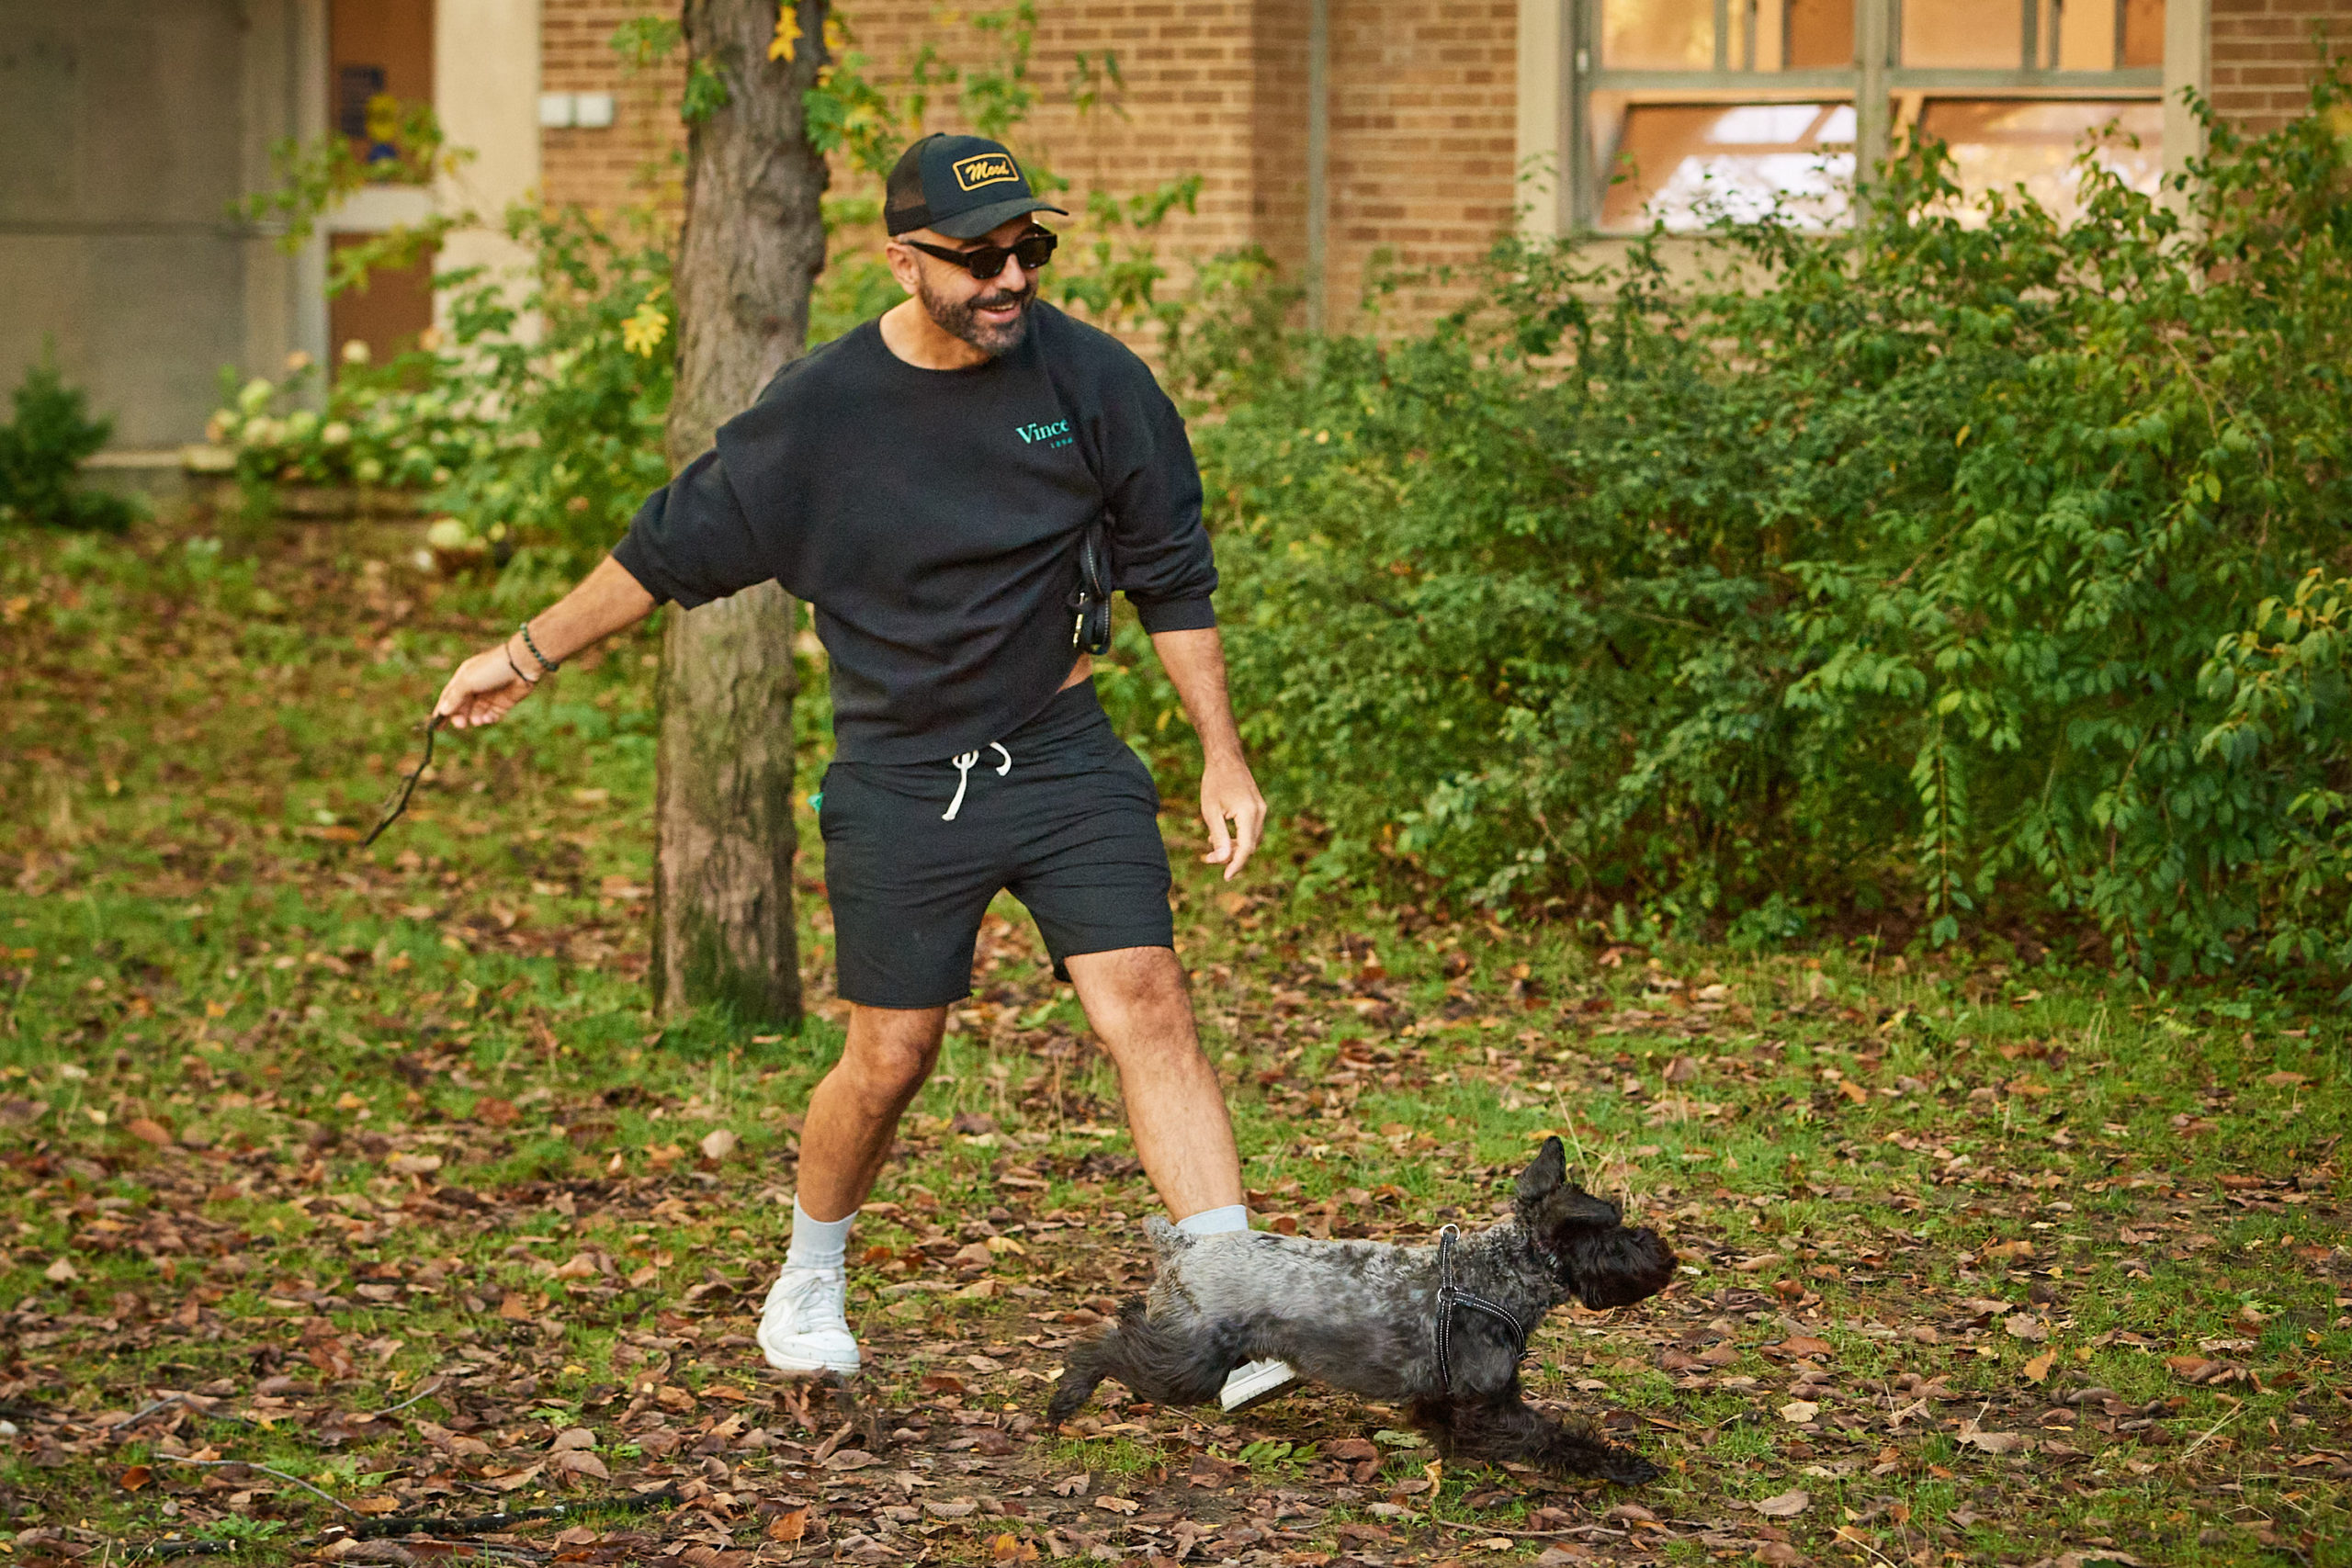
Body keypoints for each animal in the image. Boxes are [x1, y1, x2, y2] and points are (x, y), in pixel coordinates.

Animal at [1048, 1142, 1674, 1485]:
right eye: (1613, 1234)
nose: (1665, 1254)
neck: (1495, 1274)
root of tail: (1184, 1245)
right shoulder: (1491, 1400)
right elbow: (1553, 1435)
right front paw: (1622, 1467)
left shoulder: (1444, 1395)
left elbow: (1449, 1430)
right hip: (1192, 1365)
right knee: (1105, 1343)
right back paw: (1066, 1398)